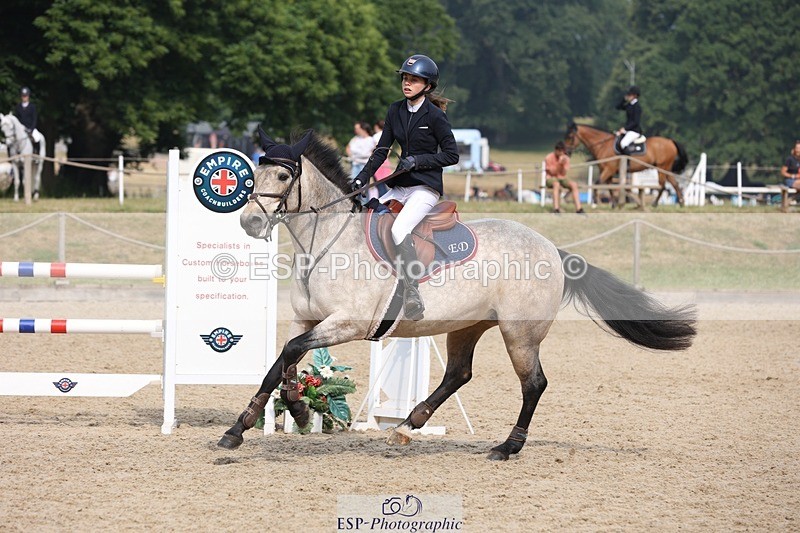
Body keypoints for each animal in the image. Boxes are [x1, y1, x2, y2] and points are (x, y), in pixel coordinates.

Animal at [218, 128, 697, 461]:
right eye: (254, 173)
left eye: (283, 174)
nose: (249, 224)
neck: (327, 241)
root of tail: (552, 249)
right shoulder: (309, 320)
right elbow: (283, 361)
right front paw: (280, 415)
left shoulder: (348, 323)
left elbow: (289, 354)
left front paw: (258, 422)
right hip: (467, 326)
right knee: (458, 374)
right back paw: (407, 426)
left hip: (519, 334)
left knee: (533, 383)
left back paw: (506, 447)